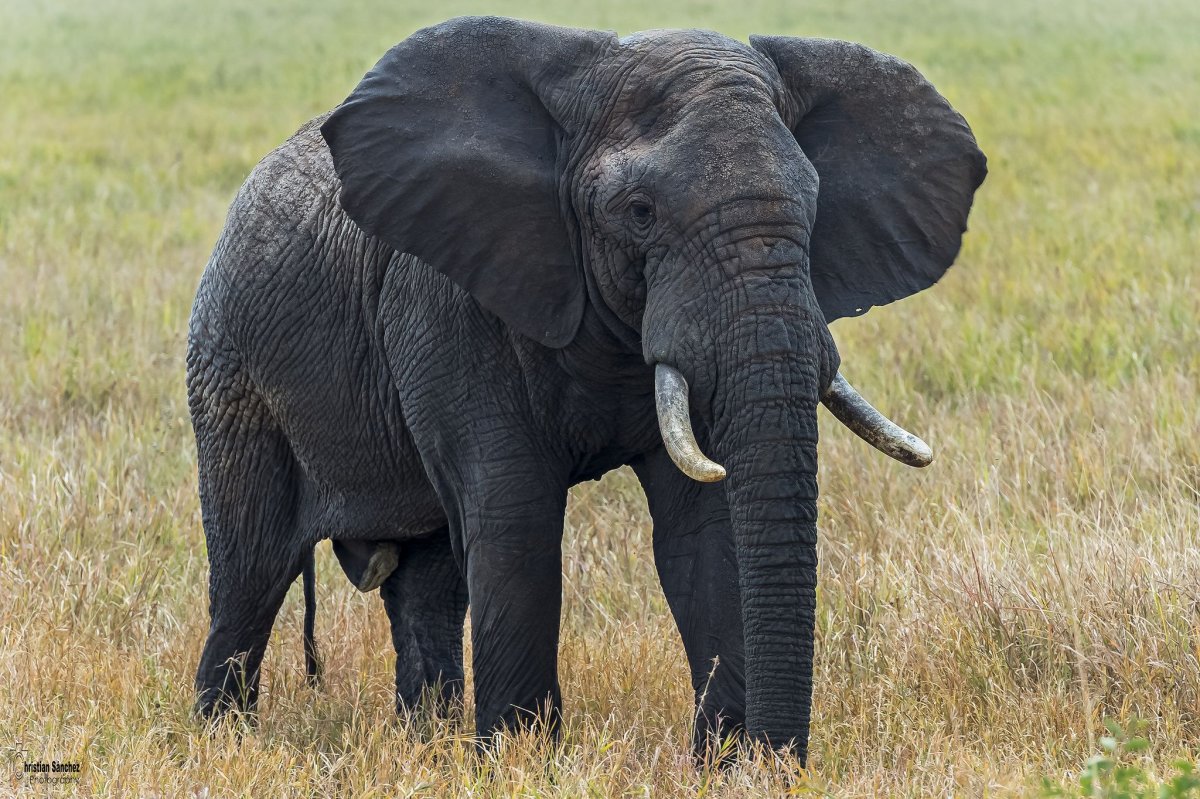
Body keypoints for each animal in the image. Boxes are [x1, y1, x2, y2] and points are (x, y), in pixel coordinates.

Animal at [186, 16, 985, 763]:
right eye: (639, 212)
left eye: (815, 207)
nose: (780, 761)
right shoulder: (448, 303)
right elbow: (516, 520)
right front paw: (520, 763)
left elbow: (705, 532)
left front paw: (727, 767)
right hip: (228, 370)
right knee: (252, 576)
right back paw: (223, 742)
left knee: (426, 586)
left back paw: (427, 743)